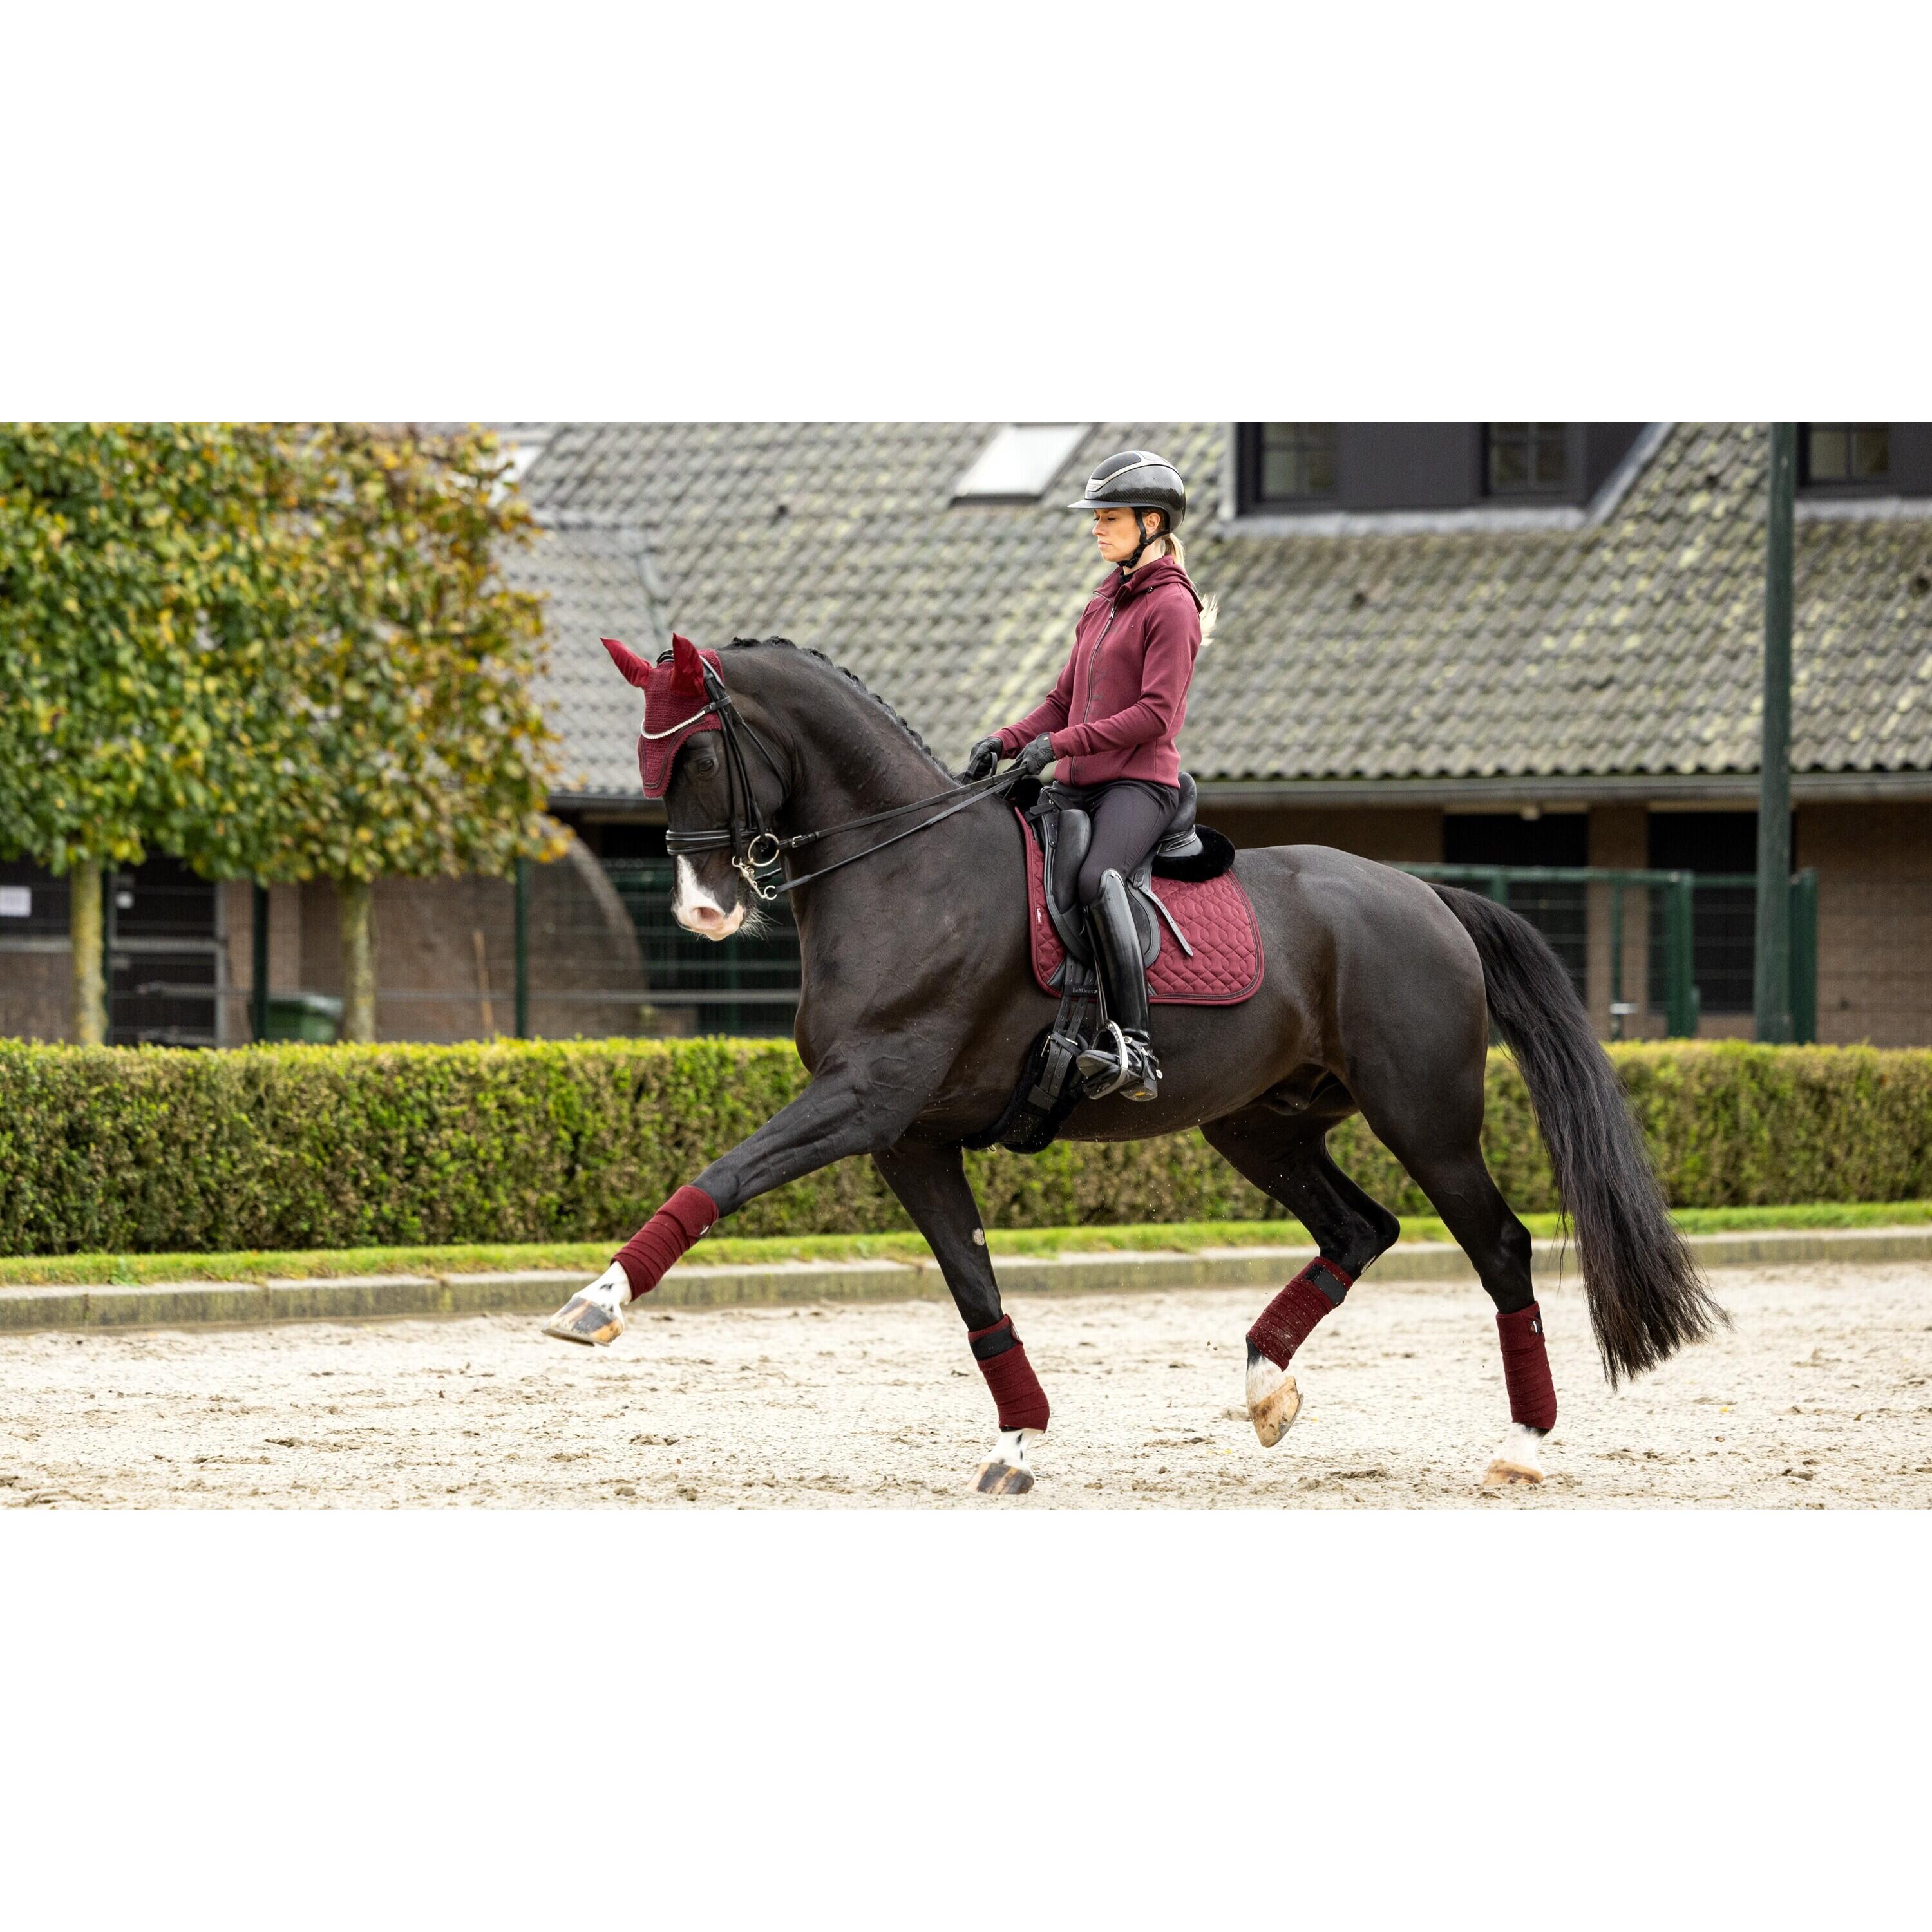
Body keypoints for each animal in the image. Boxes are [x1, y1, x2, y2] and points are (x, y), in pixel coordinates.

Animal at [544, 632, 1722, 1495]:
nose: (704, 913)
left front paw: (597, 1302)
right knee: (1359, 1229)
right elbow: (974, 1287)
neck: (908, 873)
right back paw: (1266, 1389)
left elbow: (725, 1172)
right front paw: (1017, 1443)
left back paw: (1522, 1445)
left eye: (695, 756)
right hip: (1259, 1123)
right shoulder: (909, 1139)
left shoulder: (864, 1099)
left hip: (1424, 1119)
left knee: (1501, 1249)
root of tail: (1426, 895)